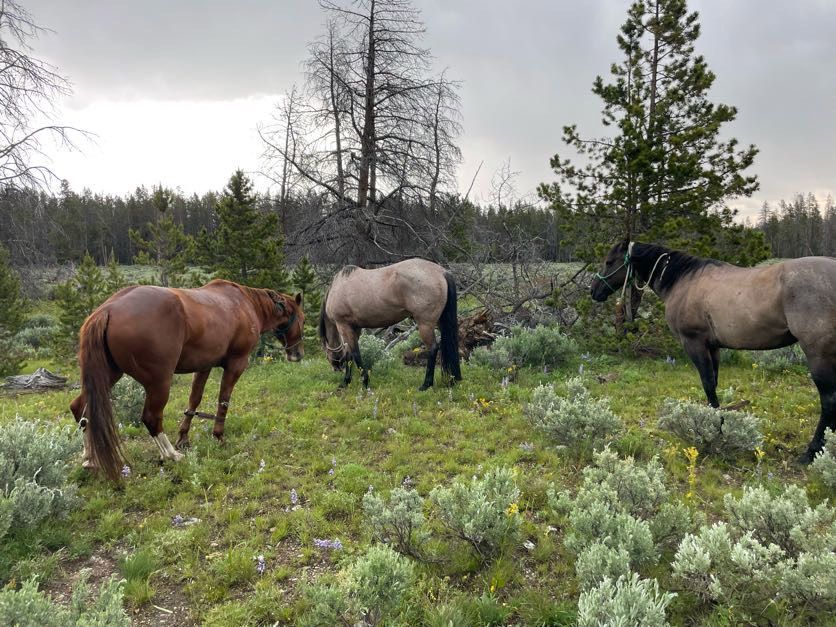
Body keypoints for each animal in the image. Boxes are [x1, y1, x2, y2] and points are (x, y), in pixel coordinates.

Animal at [69, 279, 305, 481]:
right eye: (303, 320)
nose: (297, 354)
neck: (245, 304)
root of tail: (108, 309)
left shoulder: (204, 367)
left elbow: (194, 400)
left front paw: (183, 437)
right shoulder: (236, 364)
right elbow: (223, 401)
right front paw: (218, 436)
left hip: (109, 375)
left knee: (81, 409)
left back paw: (89, 459)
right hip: (159, 382)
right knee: (151, 418)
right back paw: (170, 455)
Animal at [318, 258, 462, 390]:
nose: (335, 367)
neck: (338, 286)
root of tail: (441, 272)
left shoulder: (343, 325)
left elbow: (355, 354)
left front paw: (364, 382)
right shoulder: (355, 327)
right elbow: (349, 354)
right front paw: (346, 382)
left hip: (424, 324)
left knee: (433, 348)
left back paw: (426, 384)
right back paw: (451, 380)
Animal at [591, 240, 836, 463]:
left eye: (609, 261)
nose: (593, 290)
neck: (683, 281)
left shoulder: (695, 343)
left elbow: (708, 384)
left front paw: (714, 430)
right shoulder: (713, 347)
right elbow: (714, 384)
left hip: (818, 354)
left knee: (828, 401)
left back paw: (811, 452)